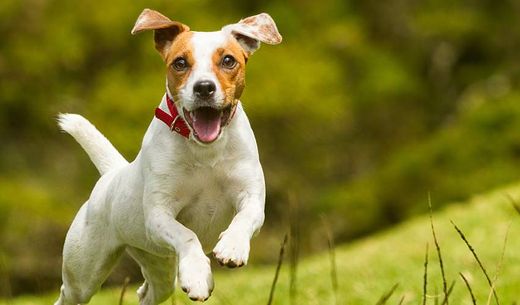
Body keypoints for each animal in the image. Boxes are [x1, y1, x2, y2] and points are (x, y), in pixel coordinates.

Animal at [54, 8, 282, 302]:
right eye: (180, 63)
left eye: (229, 60)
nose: (204, 87)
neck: (205, 151)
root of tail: (112, 175)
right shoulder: (159, 215)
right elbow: (187, 235)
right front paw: (197, 274)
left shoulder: (251, 196)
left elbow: (244, 218)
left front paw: (232, 247)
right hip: (83, 274)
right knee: (69, 293)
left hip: (157, 264)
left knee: (147, 293)